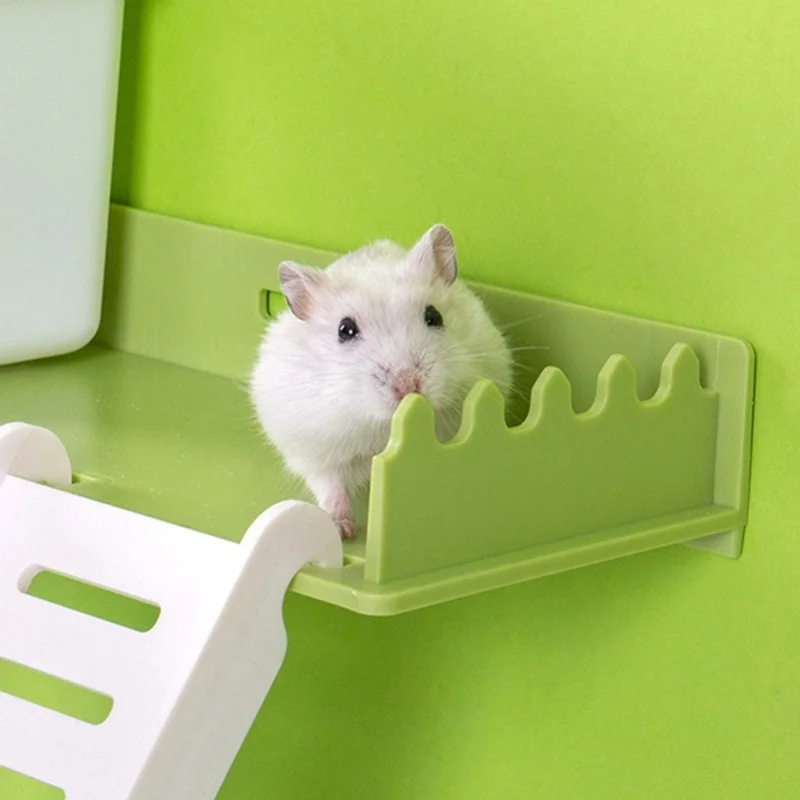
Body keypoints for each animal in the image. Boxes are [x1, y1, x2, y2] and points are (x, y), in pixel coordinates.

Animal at [249, 224, 512, 539]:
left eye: (434, 315)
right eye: (345, 330)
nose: (408, 386)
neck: (382, 425)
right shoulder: (316, 448)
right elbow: (331, 484)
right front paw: (342, 531)